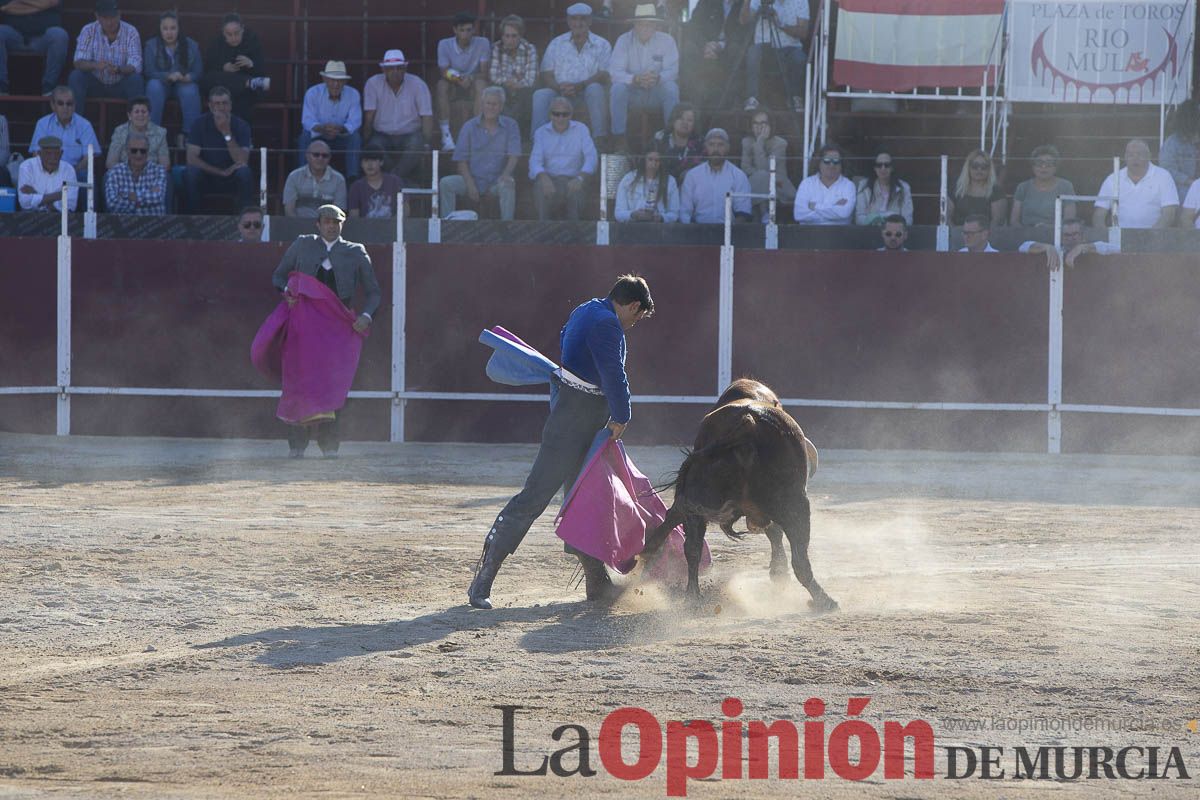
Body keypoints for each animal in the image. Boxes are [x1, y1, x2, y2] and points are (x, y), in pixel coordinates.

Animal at [648, 379, 835, 609]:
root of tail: (748, 422)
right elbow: (776, 533)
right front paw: (779, 573)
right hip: (796, 502)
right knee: (800, 559)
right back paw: (824, 600)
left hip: (697, 501)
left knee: (691, 546)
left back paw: (691, 597)